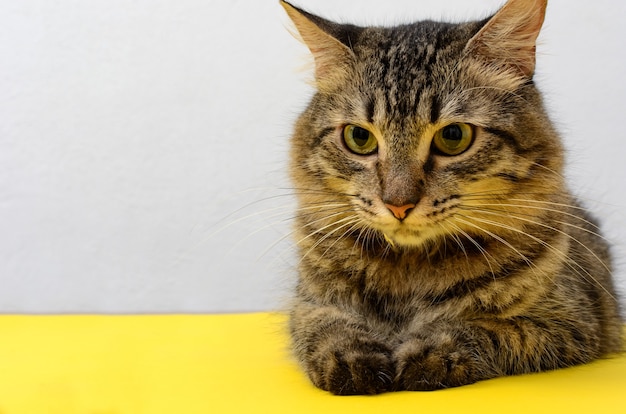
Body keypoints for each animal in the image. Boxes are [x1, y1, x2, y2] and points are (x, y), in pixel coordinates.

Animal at [280, 0, 620, 394]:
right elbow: (327, 329)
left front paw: (428, 354)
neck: (408, 272)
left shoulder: (571, 321)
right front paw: (354, 361)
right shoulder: (307, 304)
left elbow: (480, 329)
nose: (398, 204)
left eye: (453, 136)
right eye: (359, 138)